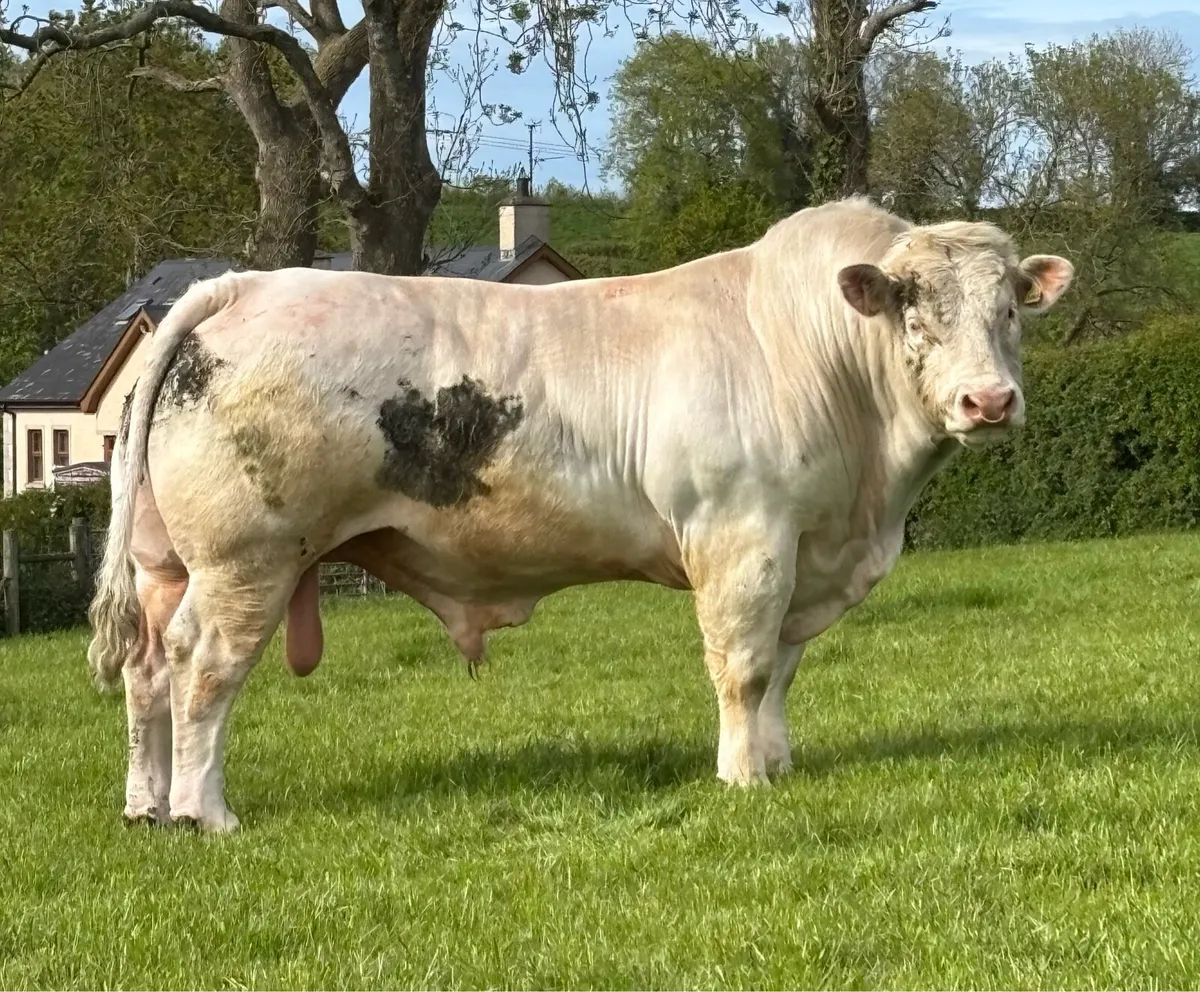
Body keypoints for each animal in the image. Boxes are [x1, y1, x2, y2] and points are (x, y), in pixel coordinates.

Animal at [88, 197, 1073, 831]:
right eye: (914, 309)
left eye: (1009, 309)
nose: (990, 402)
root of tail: (248, 285)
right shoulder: (743, 539)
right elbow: (745, 668)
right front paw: (742, 778)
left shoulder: (802, 554)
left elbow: (783, 671)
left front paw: (778, 762)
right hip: (246, 559)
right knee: (203, 669)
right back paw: (204, 813)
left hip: (166, 563)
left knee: (147, 670)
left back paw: (145, 806)